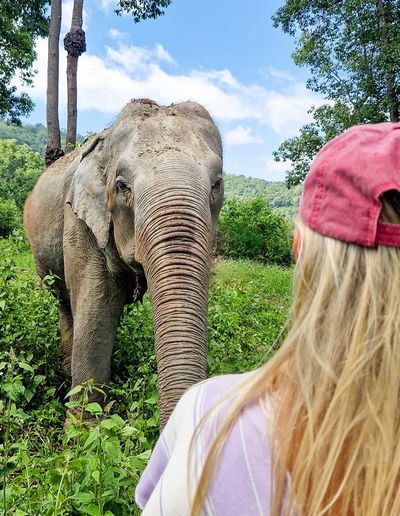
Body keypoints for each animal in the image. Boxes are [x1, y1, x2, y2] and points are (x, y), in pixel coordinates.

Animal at [23, 98, 223, 428]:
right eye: (121, 186)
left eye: (217, 185)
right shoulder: (81, 221)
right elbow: (97, 310)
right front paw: (83, 432)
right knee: (63, 302)